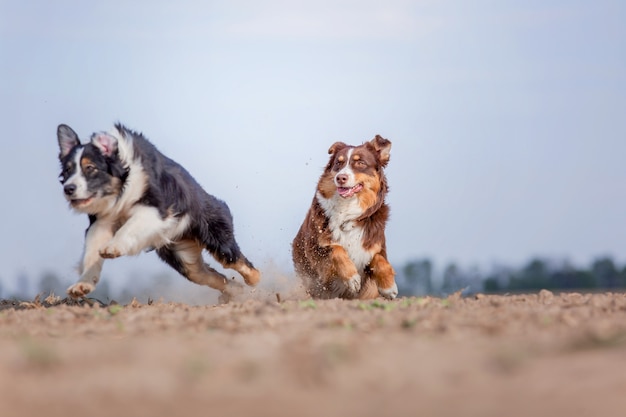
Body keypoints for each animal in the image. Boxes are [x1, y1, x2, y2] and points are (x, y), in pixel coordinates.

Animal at [54, 122, 258, 300]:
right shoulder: (101, 221)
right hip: (184, 260)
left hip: (217, 237)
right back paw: (235, 292)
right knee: (212, 276)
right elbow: (91, 252)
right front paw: (82, 285)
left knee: (240, 263)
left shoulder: (156, 210)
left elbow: (128, 227)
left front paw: (113, 247)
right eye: (68, 170)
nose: (68, 189)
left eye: (90, 168)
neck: (123, 186)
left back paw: (254, 284)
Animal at [292, 136, 394, 300]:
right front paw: (352, 278)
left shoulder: (374, 244)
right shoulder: (315, 250)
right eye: (338, 163)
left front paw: (389, 287)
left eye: (360, 162)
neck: (347, 210)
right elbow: (336, 249)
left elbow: (379, 259)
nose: (340, 178)